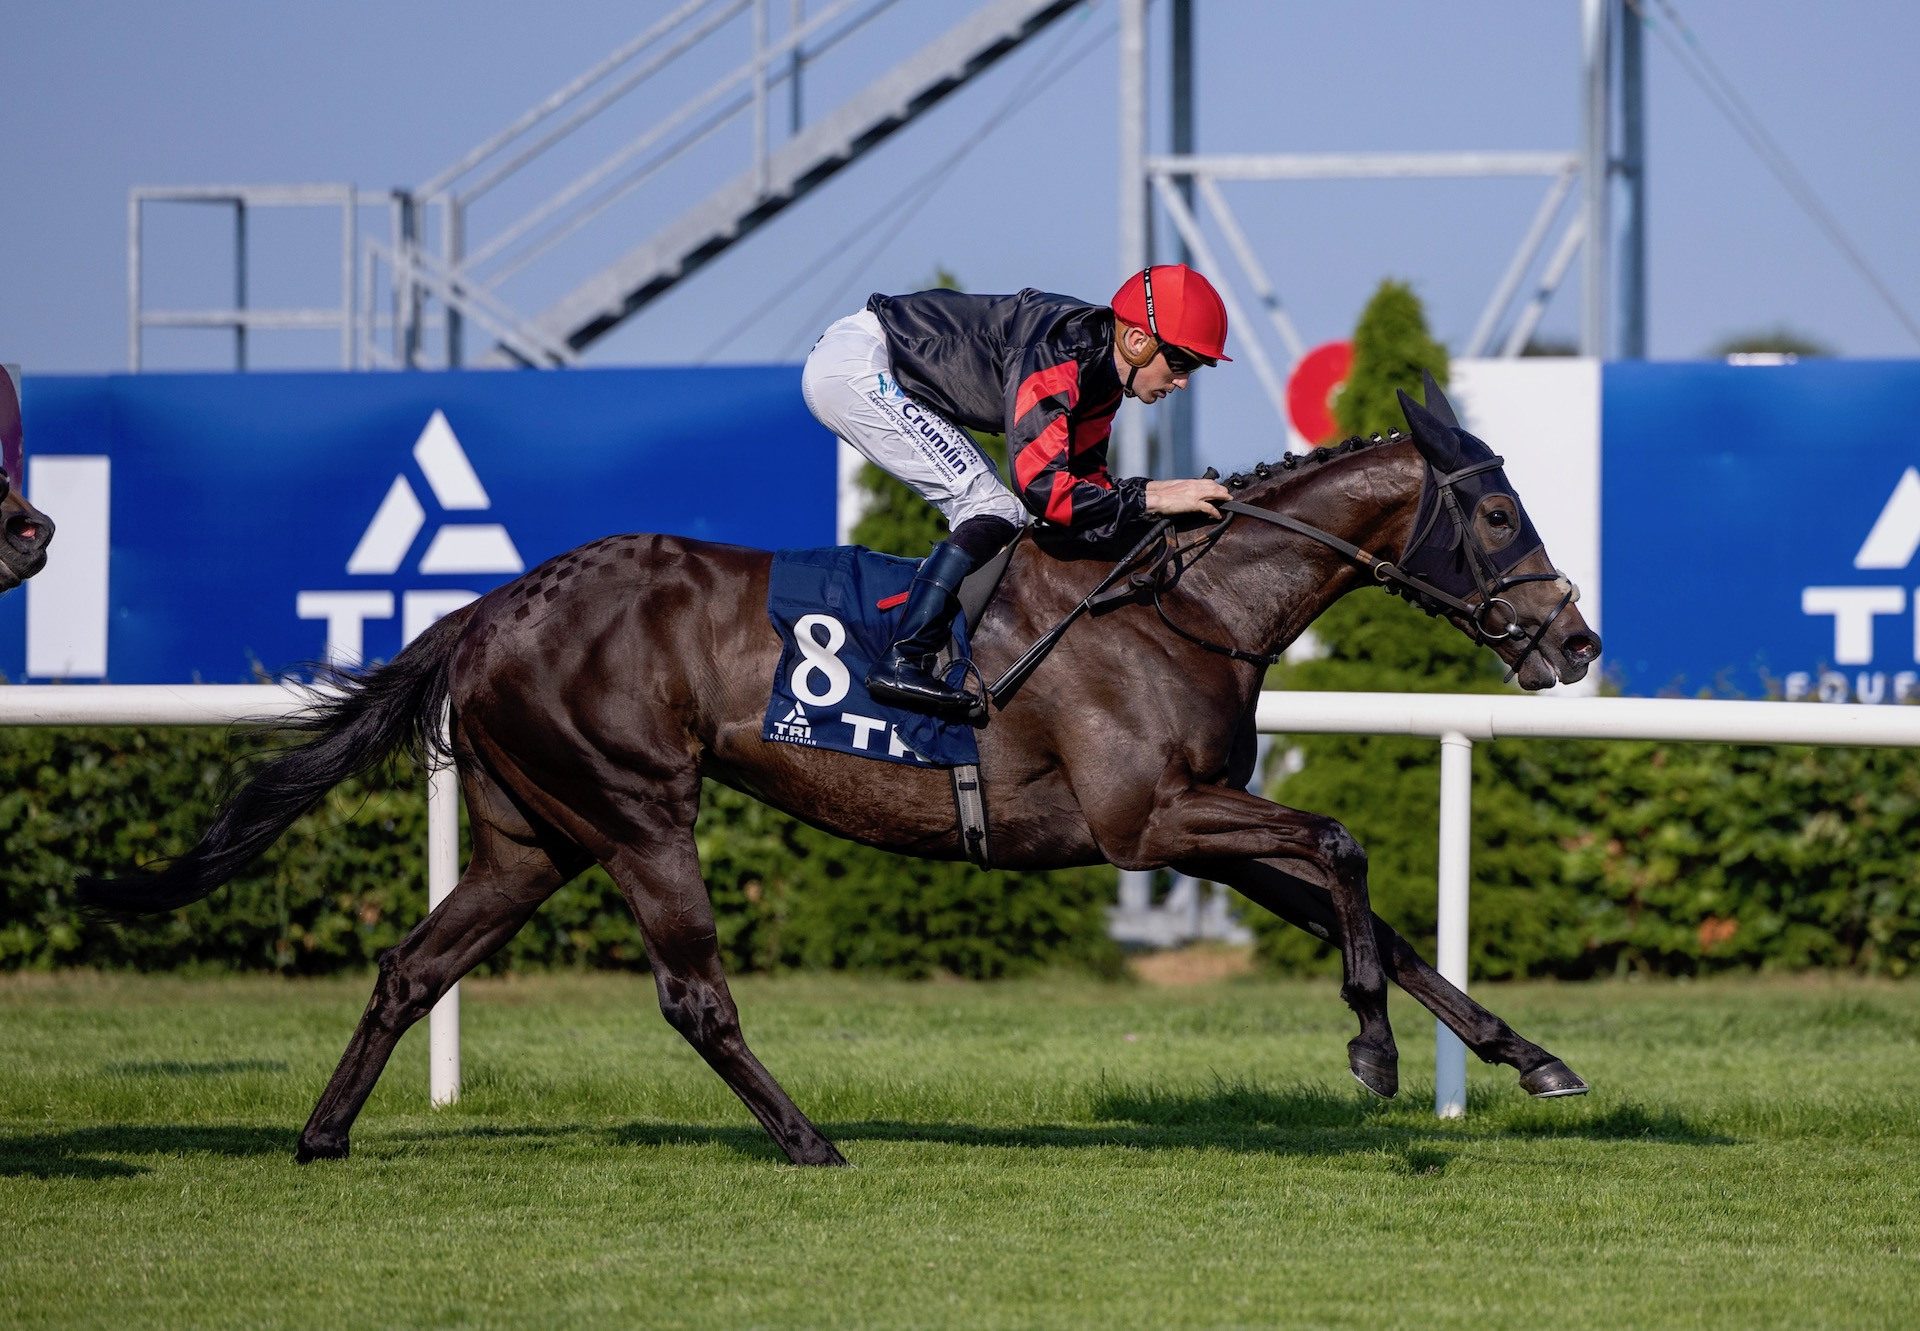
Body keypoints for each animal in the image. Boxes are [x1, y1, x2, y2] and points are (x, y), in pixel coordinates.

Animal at [82, 382, 1597, 1160]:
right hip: (637, 807)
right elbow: (1344, 844)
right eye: (1499, 513)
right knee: (691, 992)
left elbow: (1378, 914)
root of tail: (495, 601)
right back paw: (808, 1136)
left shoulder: (1189, 824)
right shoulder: (1148, 817)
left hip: (535, 834)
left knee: (412, 964)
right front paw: (1372, 1046)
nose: (1575, 638)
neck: (1181, 601)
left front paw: (1528, 1055)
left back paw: (324, 1134)